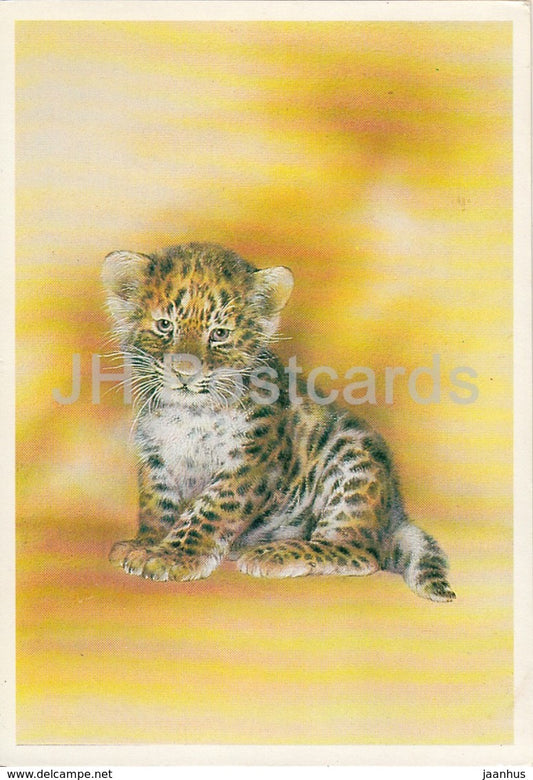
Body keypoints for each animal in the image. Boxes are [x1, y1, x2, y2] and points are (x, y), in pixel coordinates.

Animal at [103, 242, 455, 601]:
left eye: (219, 334)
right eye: (164, 326)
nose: (184, 373)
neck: (189, 413)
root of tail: (394, 515)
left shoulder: (249, 460)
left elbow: (209, 510)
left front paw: (172, 556)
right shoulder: (155, 456)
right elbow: (158, 502)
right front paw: (146, 544)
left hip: (354, 463)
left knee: (359, 553)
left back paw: (272, 553)